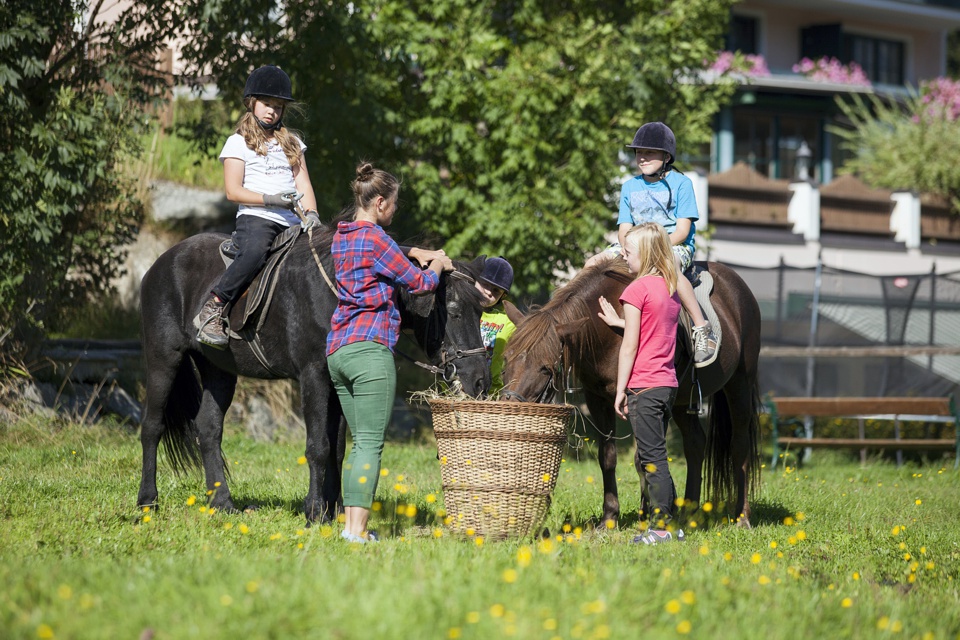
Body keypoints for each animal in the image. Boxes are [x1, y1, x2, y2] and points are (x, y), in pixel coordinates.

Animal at [137, 218, 488, 524]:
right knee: (152, 427)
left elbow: (338, 448)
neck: (343, 289)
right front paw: (316, 511)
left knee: (209, 429)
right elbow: (318, 447)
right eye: (454, 311)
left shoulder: (341, 381)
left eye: (480, 311)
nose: (479, 379)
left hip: (219, 371)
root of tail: (160, 263)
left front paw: (338, 511)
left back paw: (222, 503)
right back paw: (147, 502)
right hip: (163, 358)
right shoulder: (313, 376)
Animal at [498, 258, 760, 524]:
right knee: (695, 445)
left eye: (545, 368)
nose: (511, 404)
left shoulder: (647, 399)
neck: (610, 332)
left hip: (739, 384)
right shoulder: (598, 400)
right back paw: (689, 512)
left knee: (739, 447)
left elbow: (644, 458)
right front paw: (610, 516)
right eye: (506, 358)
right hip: (682, 403)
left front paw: (648, 514)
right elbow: (607, 456)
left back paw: (742, 516)